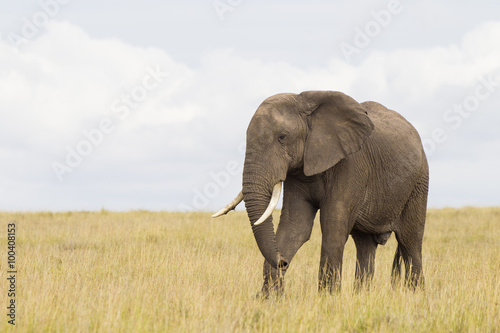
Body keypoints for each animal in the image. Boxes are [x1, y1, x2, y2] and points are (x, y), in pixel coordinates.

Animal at [213, 90, 428, 294]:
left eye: (282, 137)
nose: (283, 261)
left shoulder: (350, 164)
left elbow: (334, 224)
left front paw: (328, 298)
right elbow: (296, 225)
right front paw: (270, 298)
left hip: (419, 183)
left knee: (410, 241)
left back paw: (414, 294)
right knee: (365, 245)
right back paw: (362, 296)